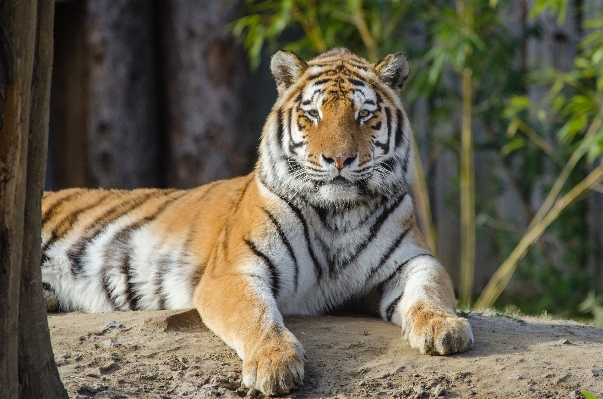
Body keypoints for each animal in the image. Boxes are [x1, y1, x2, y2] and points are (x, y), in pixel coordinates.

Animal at [43, 47, 476, 396]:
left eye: (364, 114)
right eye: (313, 114)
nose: (338, 160)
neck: (337, 214)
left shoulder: (413, 259)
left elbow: (430, 290)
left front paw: (444, 327)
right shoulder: (232, 272)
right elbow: (254, 314)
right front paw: (274, 364)